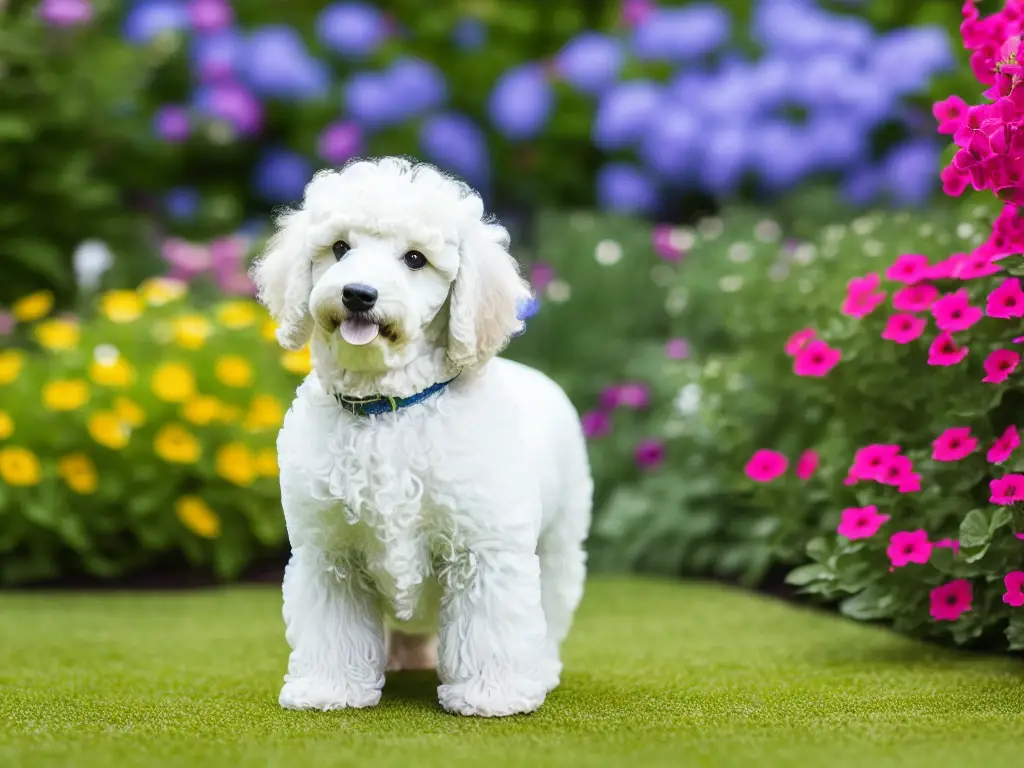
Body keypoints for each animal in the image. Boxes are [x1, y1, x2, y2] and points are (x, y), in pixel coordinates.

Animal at [248, 159, 598, 720]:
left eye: (415, 259)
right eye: (340, 248)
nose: (358, 293)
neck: (389, 408)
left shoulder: (484, 547)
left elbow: (491, 624)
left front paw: (490, 694)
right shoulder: (329, 554)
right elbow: (333, 629)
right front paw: (329, 688)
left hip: (560, 545)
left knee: (548, 611)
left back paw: (539, 670)